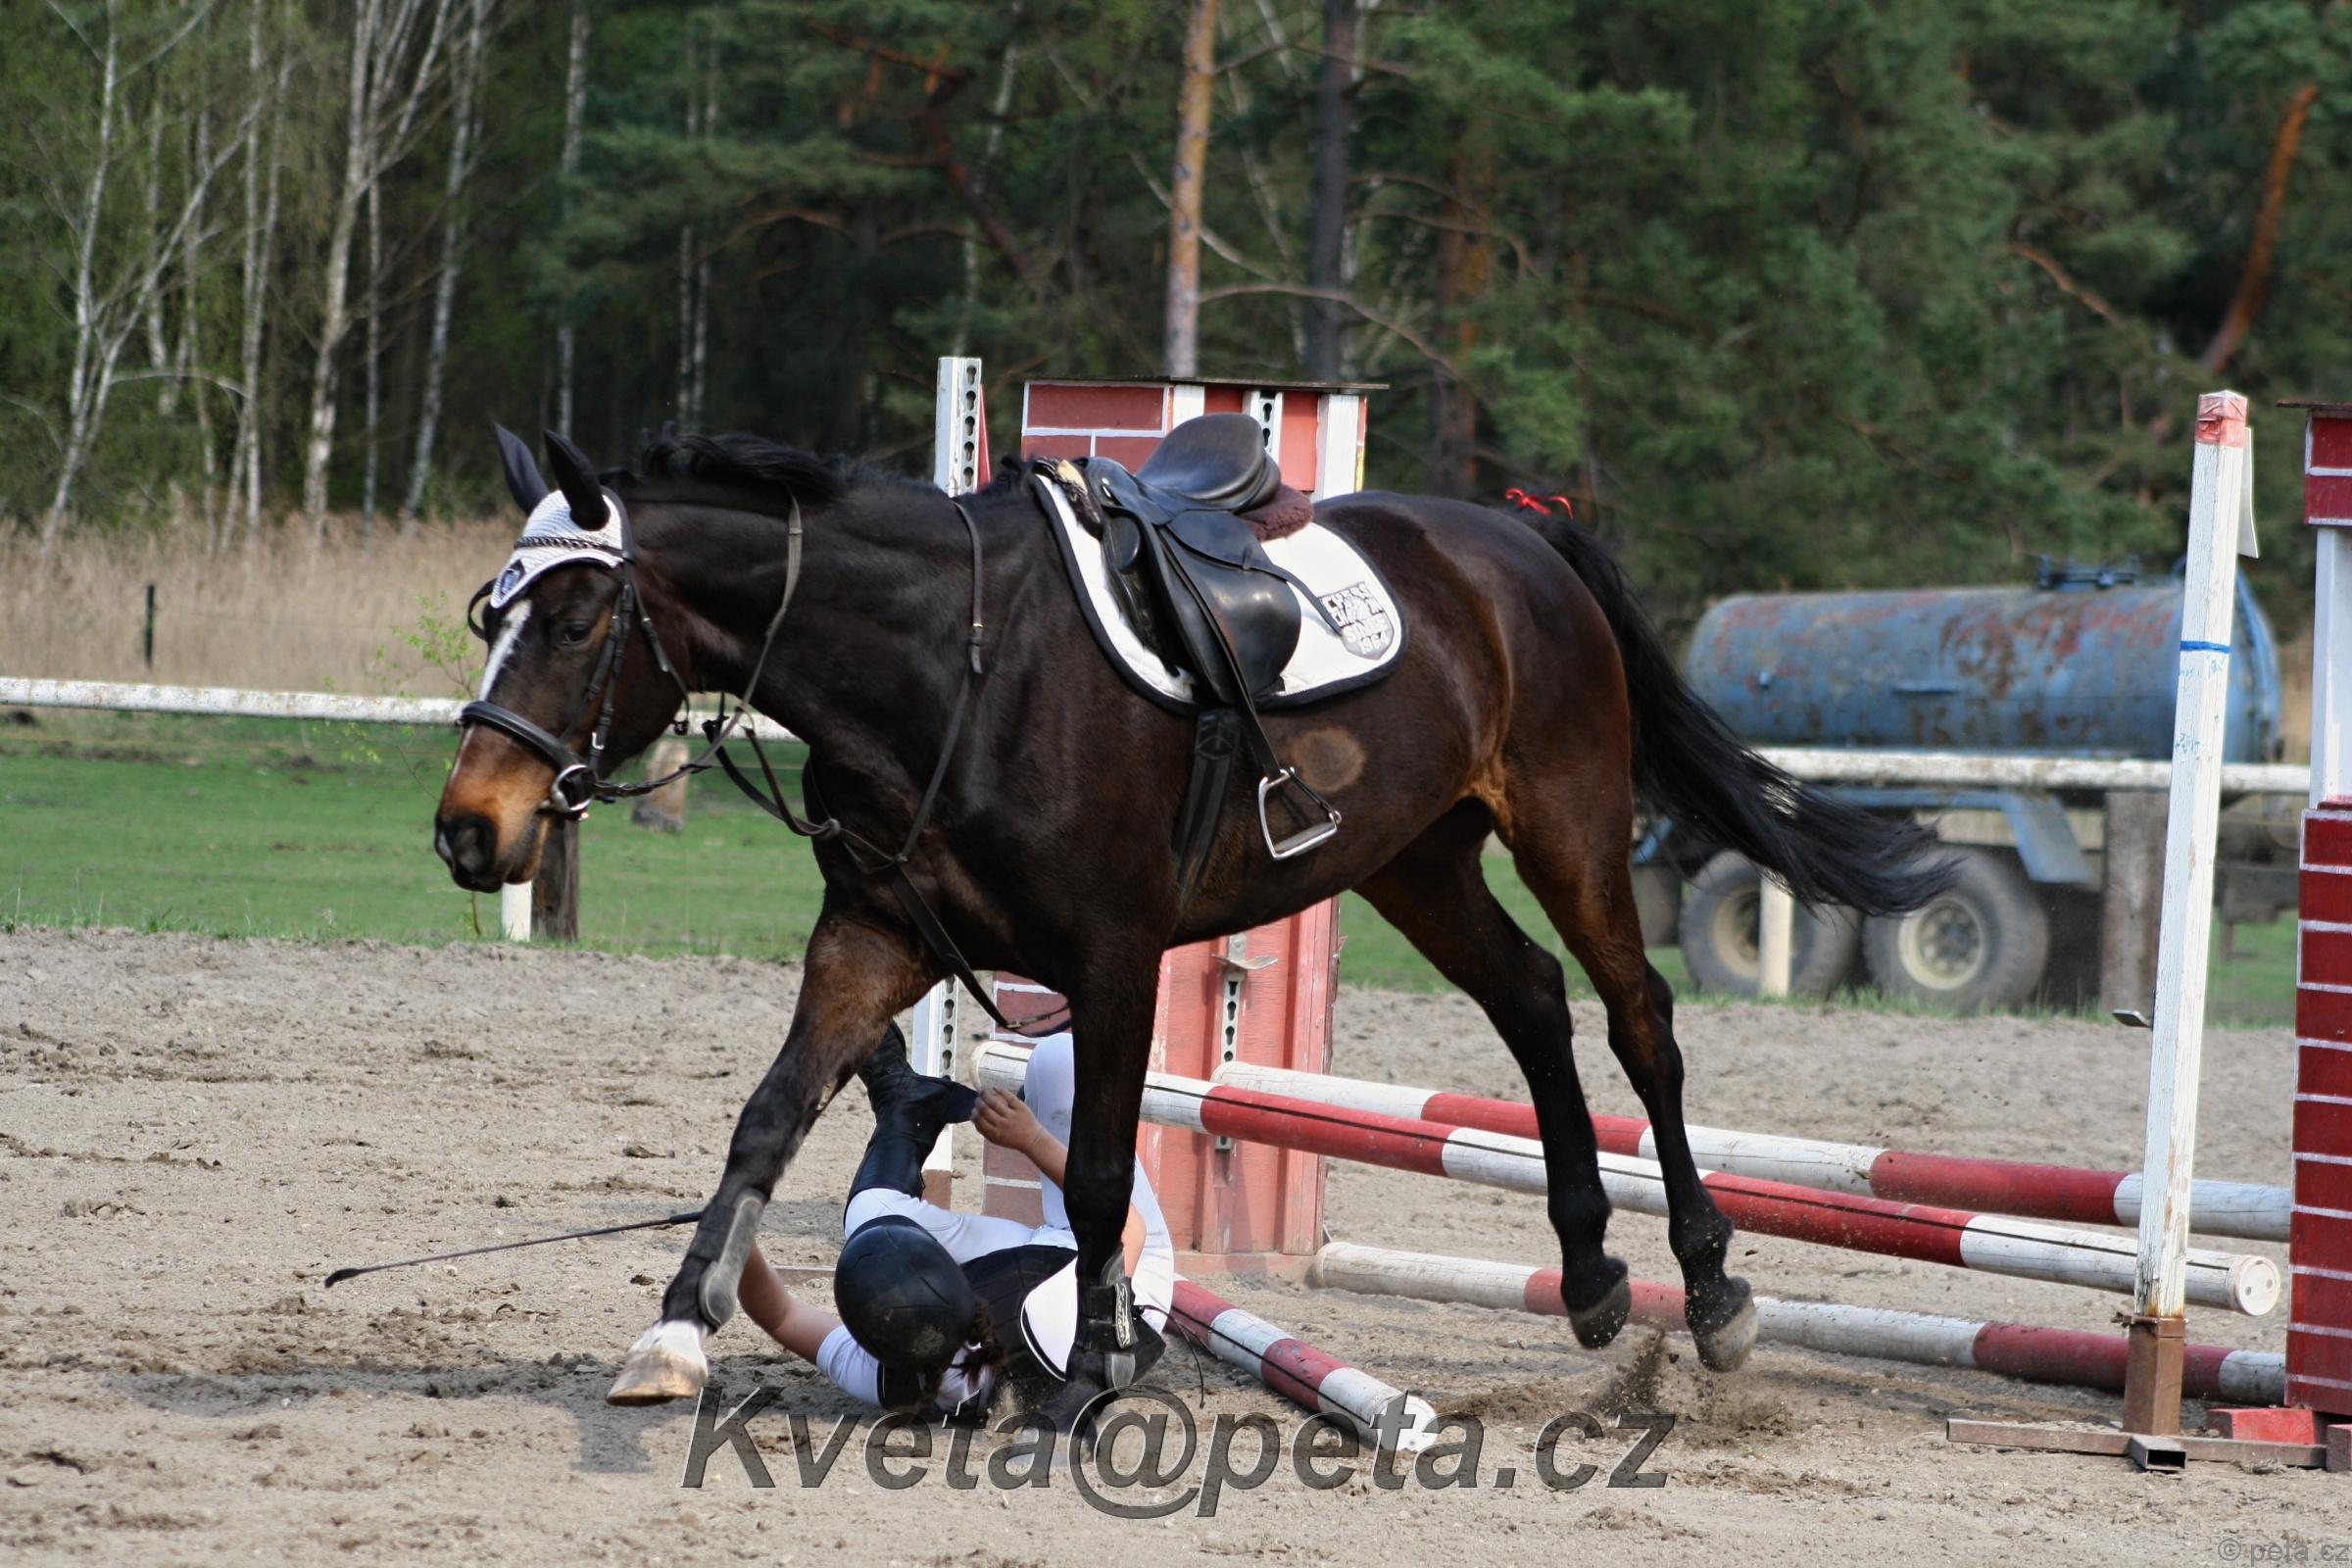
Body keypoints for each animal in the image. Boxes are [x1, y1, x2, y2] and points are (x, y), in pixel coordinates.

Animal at [433, 424, 1945, 1427]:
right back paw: (1584, 1274)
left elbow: (1103, 1171)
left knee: (1637, 1018)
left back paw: (1714, 1292)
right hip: (1416, 858)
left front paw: (1102, 1361)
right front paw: (674, 1333)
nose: (469, 833)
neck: (944, 669)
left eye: (577, 619)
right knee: (1526, 996)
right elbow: (765, 1119)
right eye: (488, 612)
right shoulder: (870, 942)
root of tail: (1523, 529)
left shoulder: (1111, 956)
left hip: (1568, 822)